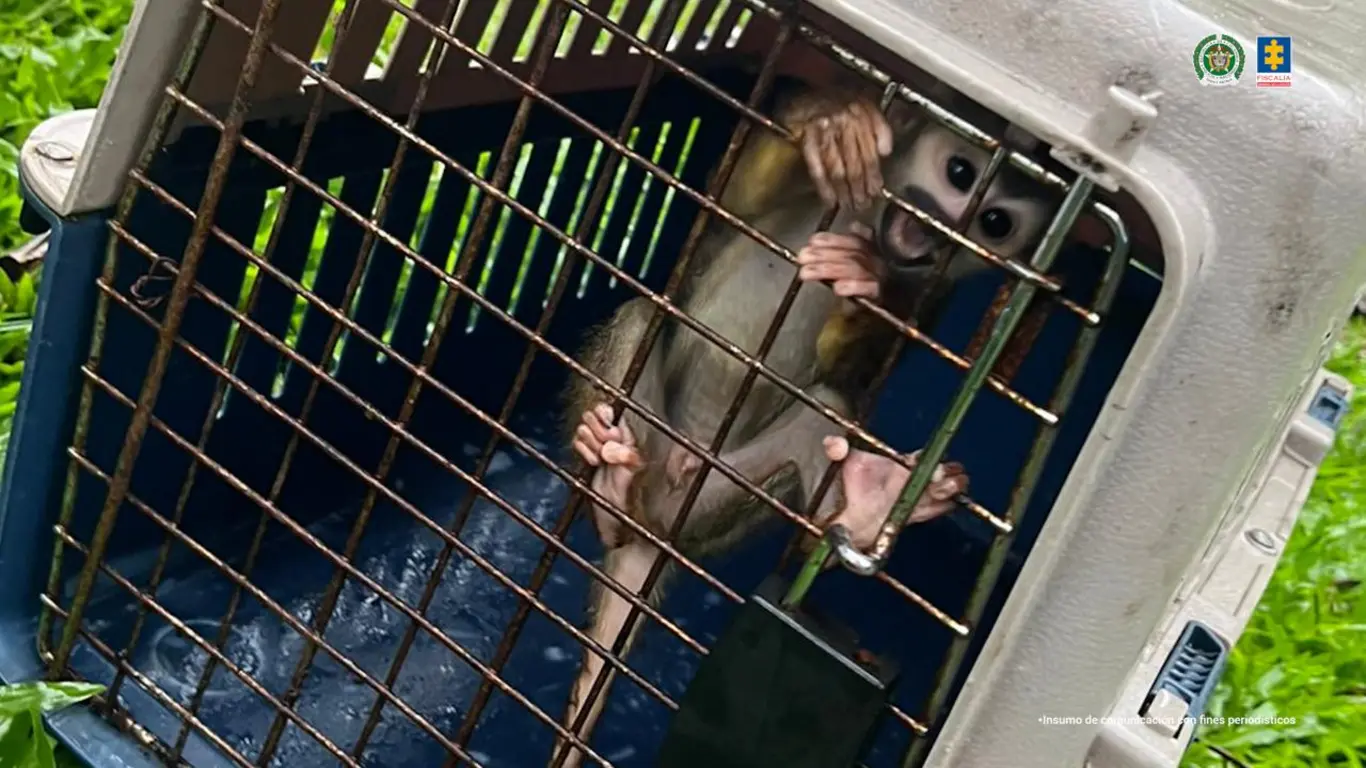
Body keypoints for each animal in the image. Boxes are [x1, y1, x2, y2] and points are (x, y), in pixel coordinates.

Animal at [549, 79, 1060, 768]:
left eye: (995, 224)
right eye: (960, 173)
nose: (935, 229)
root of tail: (658, 530)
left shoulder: (934, 297)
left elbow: (859, 373)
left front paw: (866, 290)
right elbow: (729, 202)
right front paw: (833, 126)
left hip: (717, 508)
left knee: (828, 408)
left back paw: (867, 510)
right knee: (643, 314)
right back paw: (607, 482)